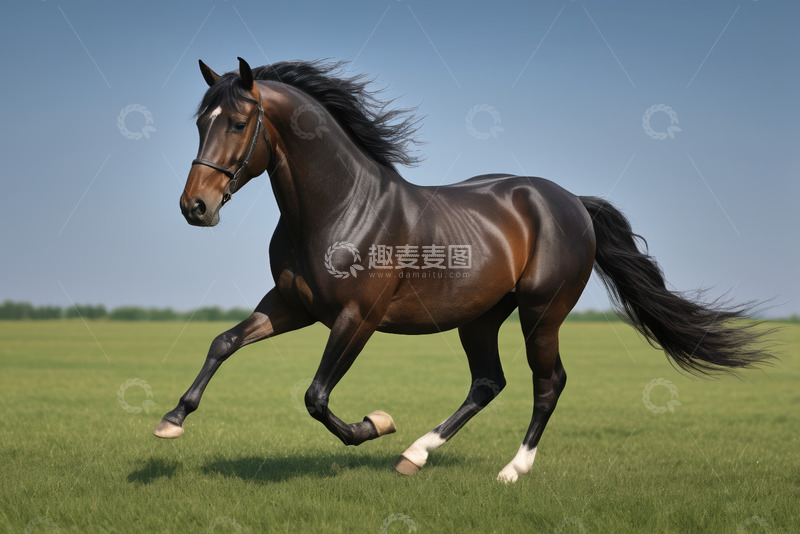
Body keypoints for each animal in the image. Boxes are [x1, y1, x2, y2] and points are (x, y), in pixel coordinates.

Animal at [154, 57, 770, 482]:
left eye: (238, 122)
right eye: (200, 122)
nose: (194, 207)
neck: (339, 207)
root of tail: (571, 201)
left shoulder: (357, 318)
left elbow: (317, 396)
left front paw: (376, 425)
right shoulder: (292, 305)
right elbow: (224, 342)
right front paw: (171, 419)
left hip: (541, 313)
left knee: (548, 383)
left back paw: (510, 470)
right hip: (480, 318)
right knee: (488, 382)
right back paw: (415, 456)